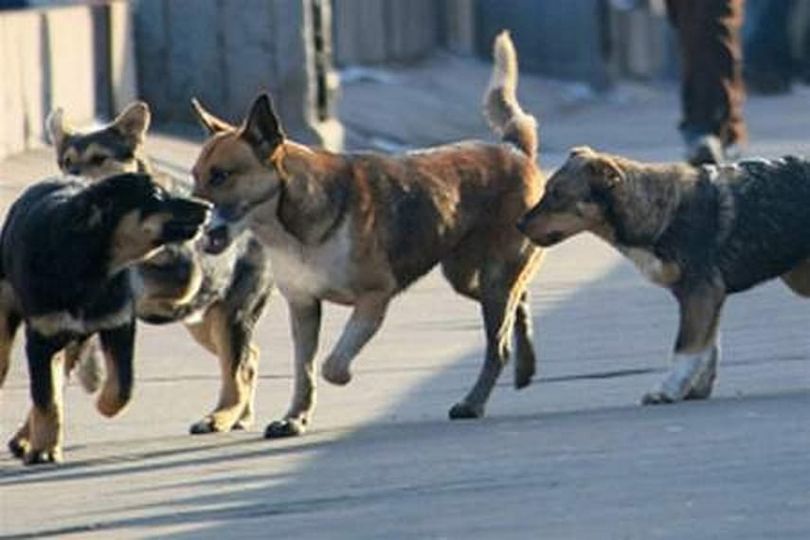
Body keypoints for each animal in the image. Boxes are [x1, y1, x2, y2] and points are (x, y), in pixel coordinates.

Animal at [0, 173, 210, 464]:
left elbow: (122, 387)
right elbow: (46, 399)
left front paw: (103, 404)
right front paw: (43, 450)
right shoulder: (42, 339)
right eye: (156, 195)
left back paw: (26, 438)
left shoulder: (118, 325)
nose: (208, 207)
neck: (92, 269)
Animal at [46, 101, 275, 434]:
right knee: (249, 358)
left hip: (230, 313)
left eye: (99, 159)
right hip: (203, 321)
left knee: (238, 368)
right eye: (66, 162)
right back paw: (239, 415)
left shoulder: (185, 278)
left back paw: (220, 417)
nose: (71, 181)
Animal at [188, 31, 544, 438]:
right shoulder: (303, 306)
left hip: (494, 277)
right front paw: (295, 417)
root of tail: (513, 149)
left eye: (221, 176)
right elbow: (304, 371)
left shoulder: (375, 298)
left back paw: (473, 402)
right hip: (468, 276)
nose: (191, 218)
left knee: (497, 344)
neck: (288, 223)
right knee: (519, 301)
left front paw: (339, 378)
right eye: (195, 176)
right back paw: (525, 363)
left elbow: (331, 365)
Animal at [518, 146, 810, 403]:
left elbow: (686, 348)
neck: (660, 211)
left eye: (557, 194)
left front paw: (667, 391)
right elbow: (707, 348)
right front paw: (695, 389)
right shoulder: (705, 298)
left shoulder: (700, 291)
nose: (519, 225)